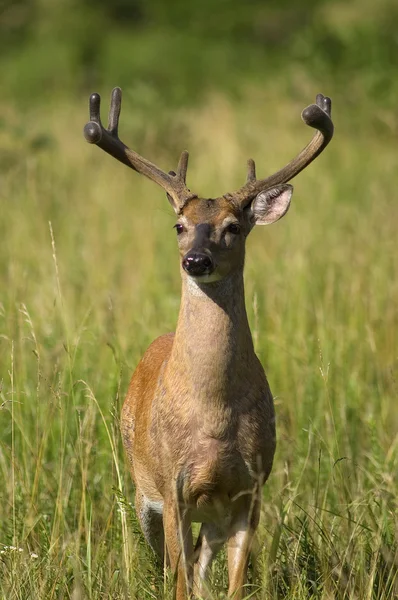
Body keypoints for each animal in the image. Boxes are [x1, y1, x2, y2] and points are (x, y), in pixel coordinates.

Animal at [83, 85, 332, 600]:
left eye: (233, 227)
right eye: (179, 225)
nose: (196, 259)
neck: (213, 416)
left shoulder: (249, 491)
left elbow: (229, 584)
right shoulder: (174, 487)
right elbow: (179, 581)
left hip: (210, 516)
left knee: (199, 565)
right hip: (142, 489)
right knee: (168, 567)